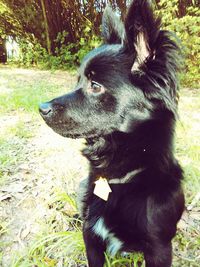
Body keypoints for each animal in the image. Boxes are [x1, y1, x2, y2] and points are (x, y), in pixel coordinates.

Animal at [39, 1, 184, 266]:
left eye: (95, 86)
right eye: (78, 81)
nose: (41, 108)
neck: (120, 177)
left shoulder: (159, 247)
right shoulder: (91, 236)